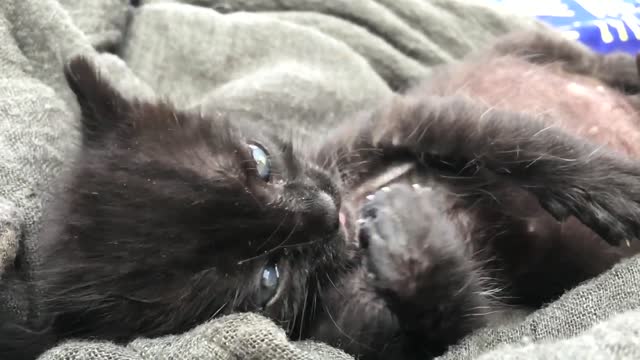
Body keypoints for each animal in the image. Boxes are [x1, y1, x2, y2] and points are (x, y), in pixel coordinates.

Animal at [3, 31, 640, 360]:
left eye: (259, 159)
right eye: (267, 277)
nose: (329, 215)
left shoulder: (391, 127)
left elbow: (502, 137)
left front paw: (614, 187)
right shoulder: (356, 334)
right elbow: (450, 323)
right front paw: (413, 241)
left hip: (533, 44)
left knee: (586, 59)